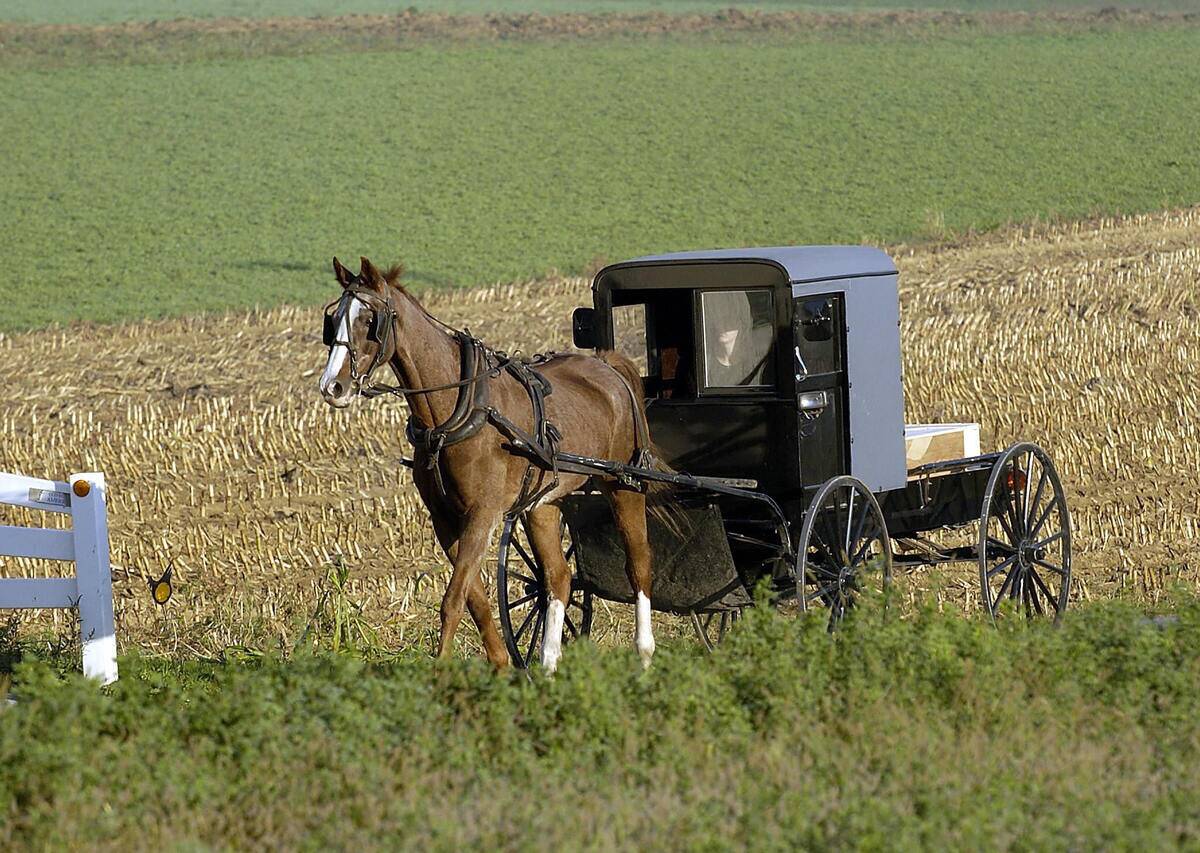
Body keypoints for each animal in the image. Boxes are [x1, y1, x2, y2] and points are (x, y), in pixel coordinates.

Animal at [317, 256, 658, 672]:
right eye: (333, 320)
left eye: (369, 320)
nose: (332, 387)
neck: (454, 412)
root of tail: (607, 366)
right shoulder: (445, 520)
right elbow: (474, 598)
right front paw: (501, 664)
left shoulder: (483, 512)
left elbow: (452, 600)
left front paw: (442, 673)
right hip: (542, 504)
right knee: (558, 579)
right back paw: (548, 665)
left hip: (623, 485)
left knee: (638, 565)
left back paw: (643, 656)